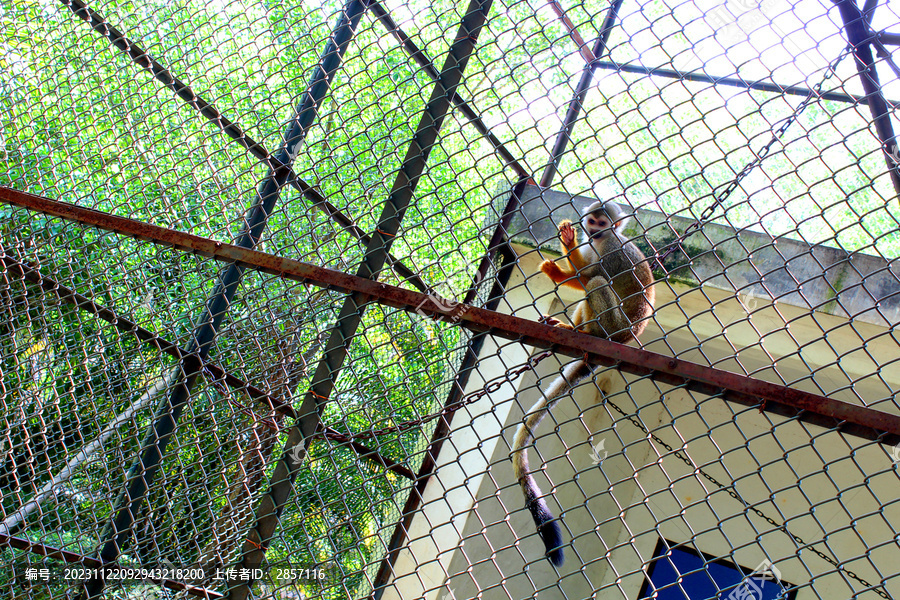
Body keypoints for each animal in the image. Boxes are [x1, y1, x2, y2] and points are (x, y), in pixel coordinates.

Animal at [512, 199, 652, 564]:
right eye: (592, 221)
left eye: (603, 223)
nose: (593, 229)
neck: (604, 240)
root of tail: (626, 339)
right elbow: (584, 274)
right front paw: (568, 243)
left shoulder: (613, 248)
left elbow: (588, 275)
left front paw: (561, 267)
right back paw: (572, 331)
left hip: (614, 326)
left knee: (597, 283)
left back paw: (590, 334)